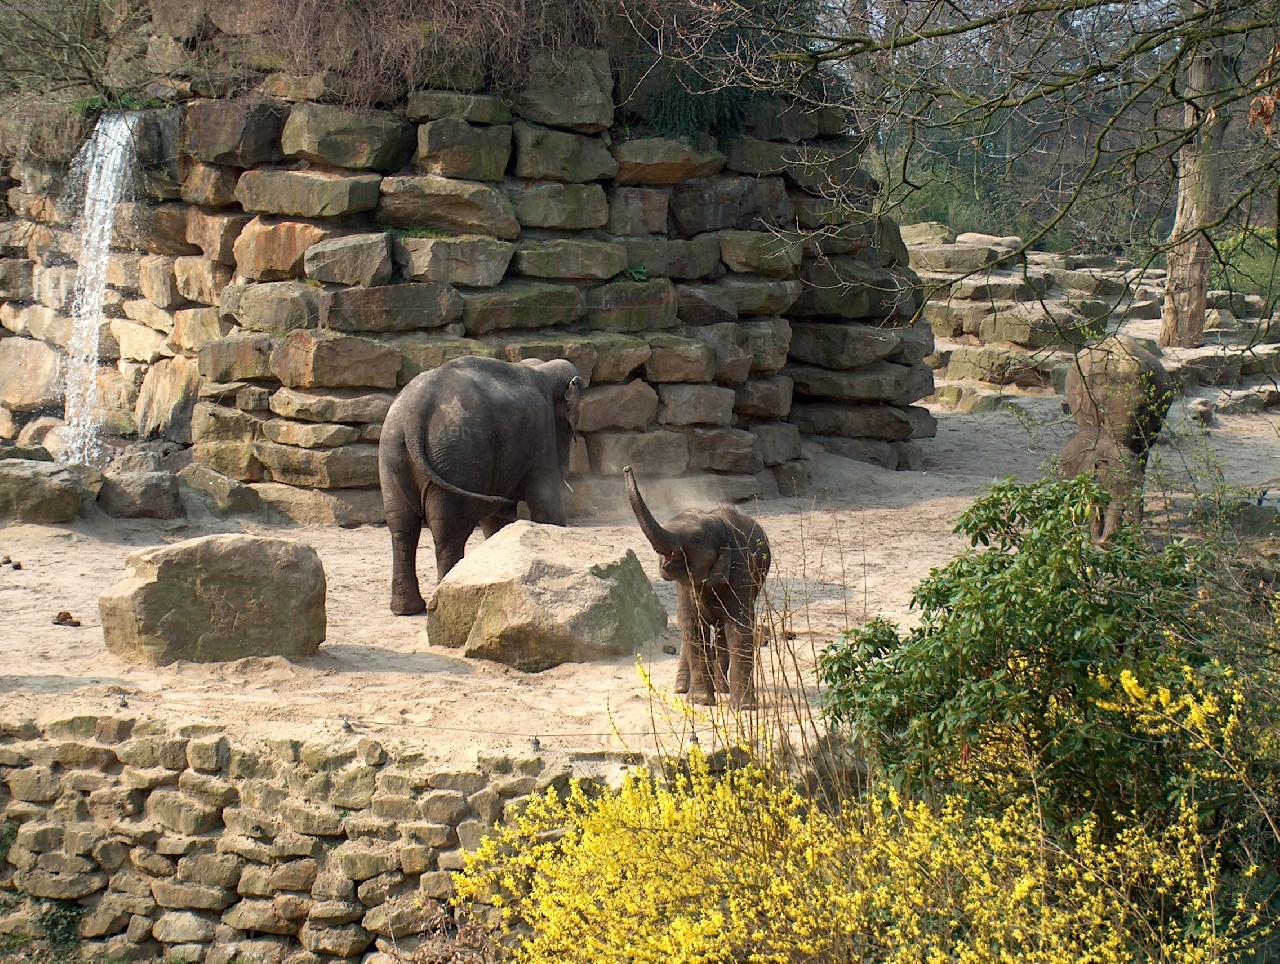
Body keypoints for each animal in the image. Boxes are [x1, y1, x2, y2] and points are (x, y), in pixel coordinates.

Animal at [378, 355, 583, 615]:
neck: (540, 368)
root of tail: (414, 415)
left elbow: (498, 519)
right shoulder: (541, 433)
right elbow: (546, 506)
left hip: (392, 455)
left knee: (402, 528)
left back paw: (407, 609)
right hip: (457, 456)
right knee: (449, 531)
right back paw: (440, 603)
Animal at [624, 466, 771, 708]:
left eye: (697, 540)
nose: (627, 467)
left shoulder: (741, 571)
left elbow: (738, 627)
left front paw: (744, 708)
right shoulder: (686, 587)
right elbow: (693, 626)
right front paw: (700, 701)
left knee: (722, 633)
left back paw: (721, 689)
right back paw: (683, 689)